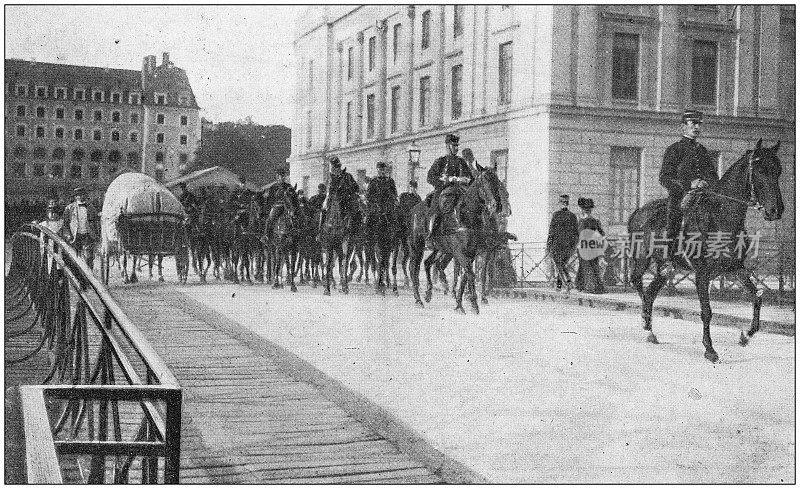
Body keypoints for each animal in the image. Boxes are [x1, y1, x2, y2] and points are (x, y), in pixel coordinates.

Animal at [406, 162, 512, 310]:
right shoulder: (461, 252)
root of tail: (413, 211)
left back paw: (430, 292)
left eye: (496, 181)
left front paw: (461, 303)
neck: (467, 215)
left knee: (428, 263)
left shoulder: (473, 253)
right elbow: (468, 273)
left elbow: (467, 275)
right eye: (484, 181)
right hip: (417, 246)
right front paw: (472, 303)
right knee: (414, 269)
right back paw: (419, 299)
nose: (496, 206)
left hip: (440, 249)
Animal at [628, 139, 784, 360]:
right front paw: (709, 349)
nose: (776, 210)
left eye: (778, 171)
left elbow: (757, 297)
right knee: (638, 283)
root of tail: (638, 212)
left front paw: (746, 336)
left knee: (650, 291)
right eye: (760, 170)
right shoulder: (702, 274)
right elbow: (707, 311)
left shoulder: (736, 268)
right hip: (642, 258)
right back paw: (645, 321)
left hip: (667, 268)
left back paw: (650, 331)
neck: (720, 217)